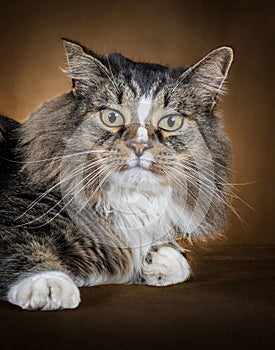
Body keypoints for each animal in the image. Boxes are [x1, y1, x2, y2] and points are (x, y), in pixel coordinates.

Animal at [0, 39, 233, 310]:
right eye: (111, 117)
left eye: (171, 122)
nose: (139, 146)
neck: (129, 200)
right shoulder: (16, 217)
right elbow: (25, 247)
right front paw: (48, 285)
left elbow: (176, 262)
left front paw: (158, 259)